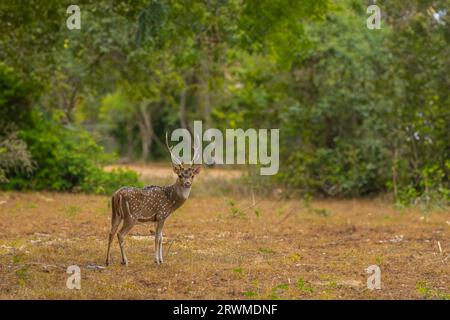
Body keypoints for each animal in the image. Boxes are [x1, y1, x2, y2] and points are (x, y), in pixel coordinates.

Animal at [105, 132, 200, 264]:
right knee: (121, 234)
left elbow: (160, 237)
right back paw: (125, 261)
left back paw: (107, 261)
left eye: (192, 176)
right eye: (180, 175)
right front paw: (157, 261)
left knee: (111, 232)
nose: (187, 183)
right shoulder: (162, 214)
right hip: (131, 216)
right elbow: (157, 237)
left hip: (115, 214)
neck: (171, 201)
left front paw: (161, 259)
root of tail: (117, 195)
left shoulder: (156, 218)